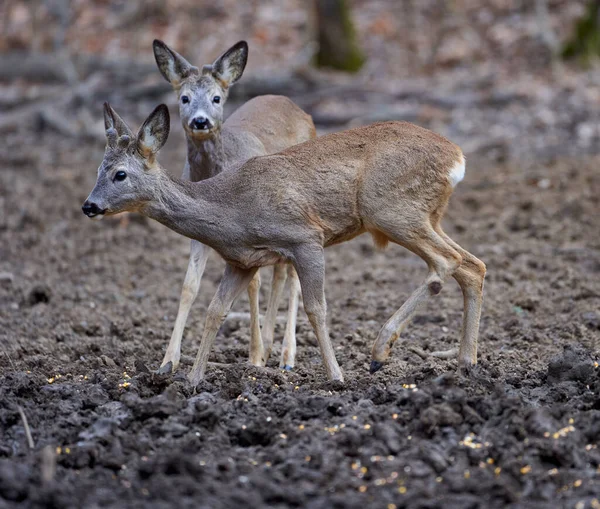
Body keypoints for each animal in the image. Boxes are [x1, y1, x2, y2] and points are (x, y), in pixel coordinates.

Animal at [84, 104, 486, 380]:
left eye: (120, 174)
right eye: (99, 170)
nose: (89, 205)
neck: (232, 211)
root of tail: (458, 157)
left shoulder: (306, 237)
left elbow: (316, 308)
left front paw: (336, 376)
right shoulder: (242, 261)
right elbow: (215, 311)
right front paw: (192, 380)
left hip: (391, 208)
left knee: (446, 262)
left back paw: (380, 350)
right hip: (424, 214)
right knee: (473, 264)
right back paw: (466, 360)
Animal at [150, 40, 314, 374]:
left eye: (216, 97)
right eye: (184, 97)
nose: (200, 121)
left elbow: (254, 284)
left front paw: (254, 357)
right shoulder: (197, 229)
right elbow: (188, 286)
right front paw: (168, 361)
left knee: (291, 278)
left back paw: (286, 357)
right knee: (281, 273)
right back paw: (272, 345)